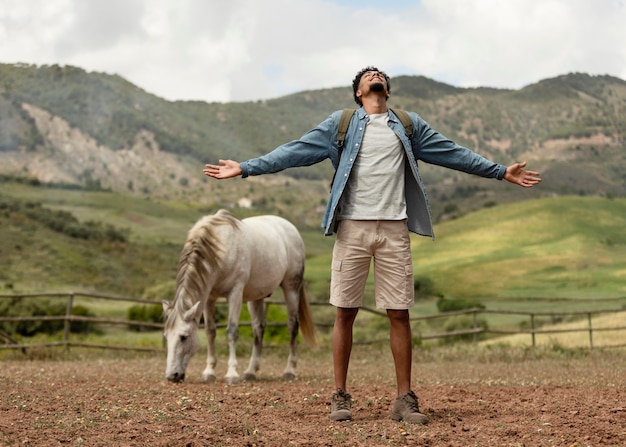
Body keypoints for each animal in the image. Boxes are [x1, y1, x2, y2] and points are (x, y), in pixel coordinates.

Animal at [163, 211, 314, 384]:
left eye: (184, 337)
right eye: (166, 336)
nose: (172, 376)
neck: (219, 249)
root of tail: (291, 228)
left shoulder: (235, 294)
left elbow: (231, 331)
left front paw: (231, 374)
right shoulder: (209, 298)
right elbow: (210, 332)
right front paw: (209, 372)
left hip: (291, 288)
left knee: (292, 326)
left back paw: (289, 370)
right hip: (256, 296)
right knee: (258, 328)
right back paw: (250, 371)